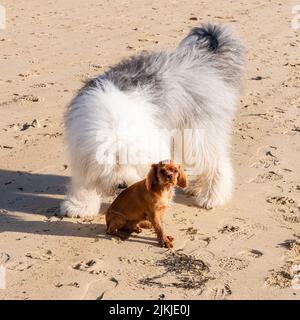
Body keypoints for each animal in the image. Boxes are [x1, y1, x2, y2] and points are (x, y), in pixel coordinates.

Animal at [60, 23, 244, 218]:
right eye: (110, 163)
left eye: (133, 161)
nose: (122, 185)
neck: (115, 124)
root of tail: (204, 59)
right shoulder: (81, 149)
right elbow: (84, 181)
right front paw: (80, 206)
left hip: (196, 132)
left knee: (215, 161)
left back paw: (212, 196)